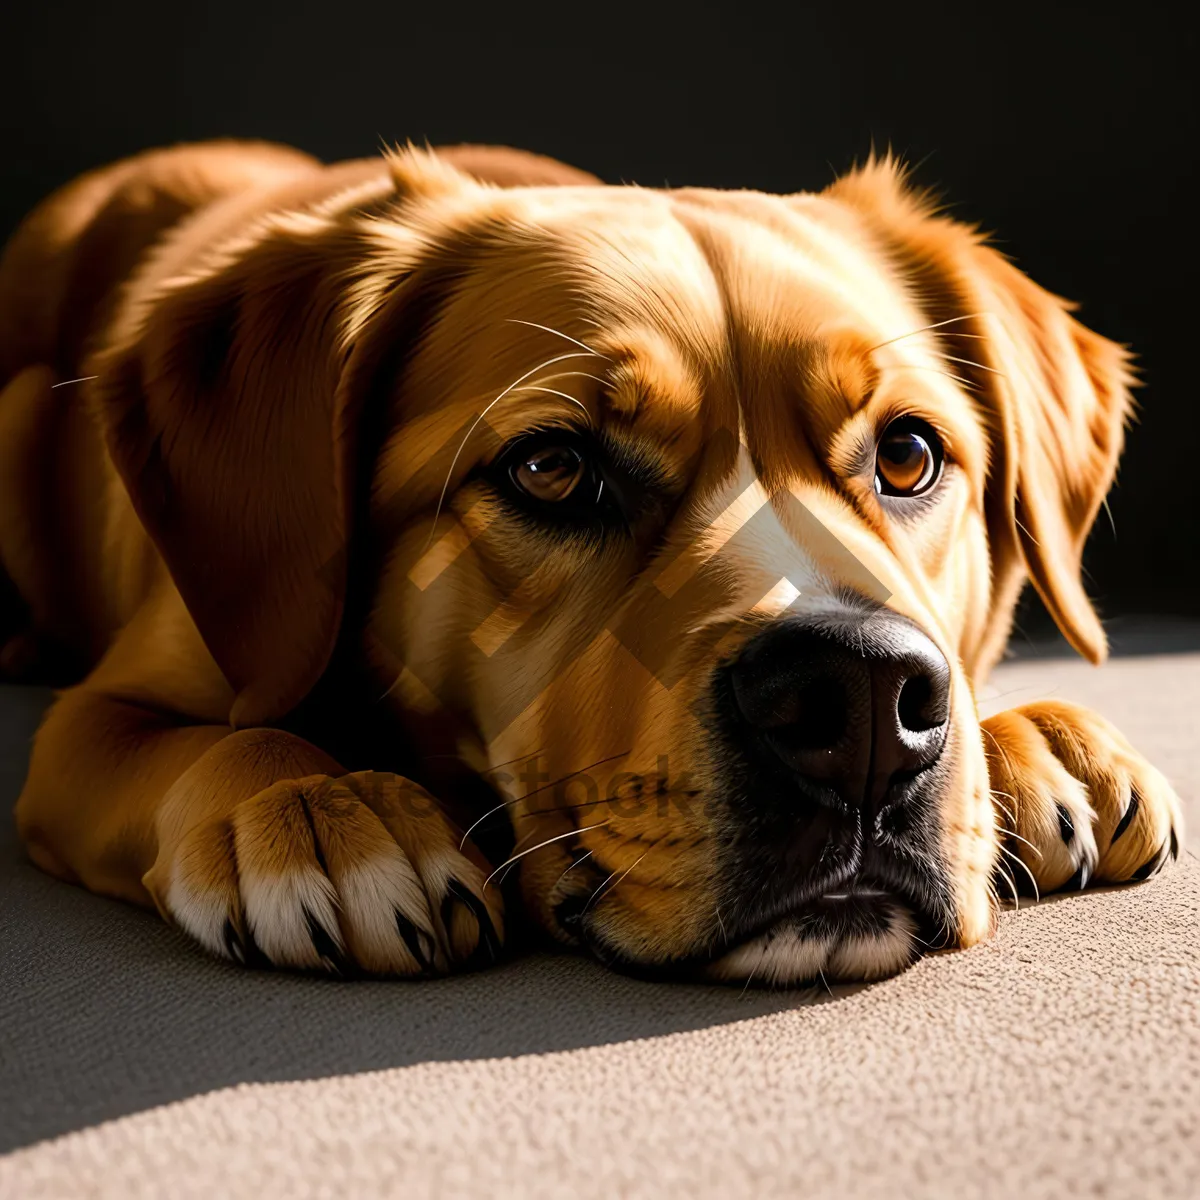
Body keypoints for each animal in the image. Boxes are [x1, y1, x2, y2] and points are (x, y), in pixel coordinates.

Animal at [0, 140, 1180, 984]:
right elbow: (216, 738)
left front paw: (1038, 743)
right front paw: (316, 808)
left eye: (907, 454)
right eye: (553, 468)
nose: (862, 703)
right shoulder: (93, 724)